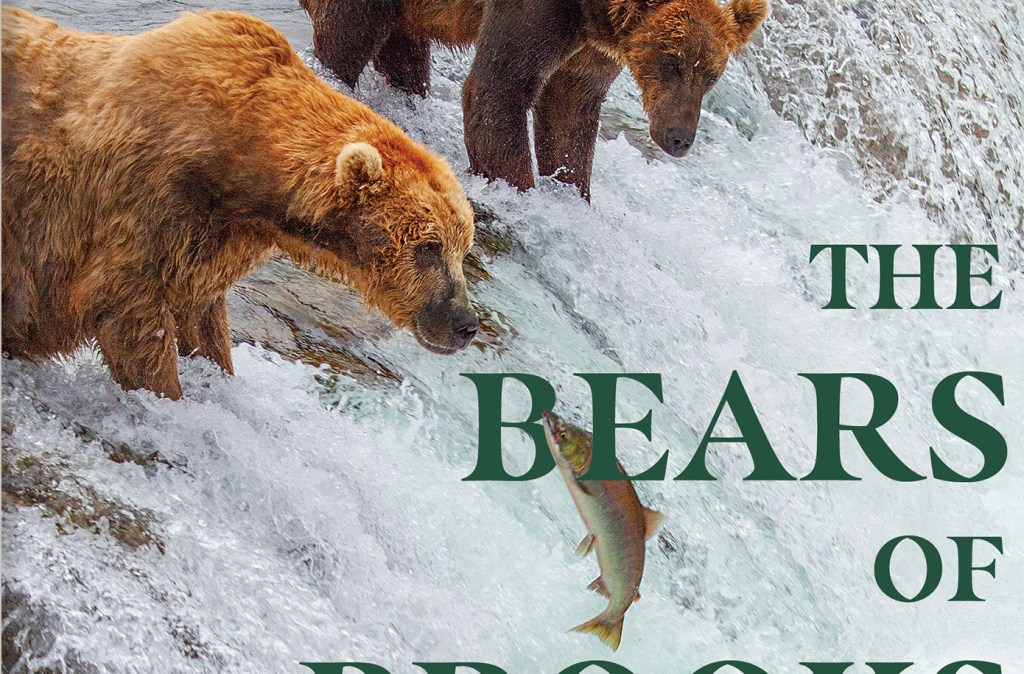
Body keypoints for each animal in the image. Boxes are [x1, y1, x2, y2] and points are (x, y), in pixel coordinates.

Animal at [1, 7, 478, 401]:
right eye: (429, 246)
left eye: (462, 247)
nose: (465, 324)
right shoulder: (147, 202)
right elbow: (128, 311)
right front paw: (168, 394)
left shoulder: (217, 241)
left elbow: (202, 321)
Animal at [298, 0, 770, 199]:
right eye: (670, 60)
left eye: (711, 74)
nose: (678, 136)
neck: (594, 11)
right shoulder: (539, 11)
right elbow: (500, 88)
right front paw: (521, 190)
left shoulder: (590, 45)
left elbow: (569, 113)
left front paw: (571, 191)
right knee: (348, 33)